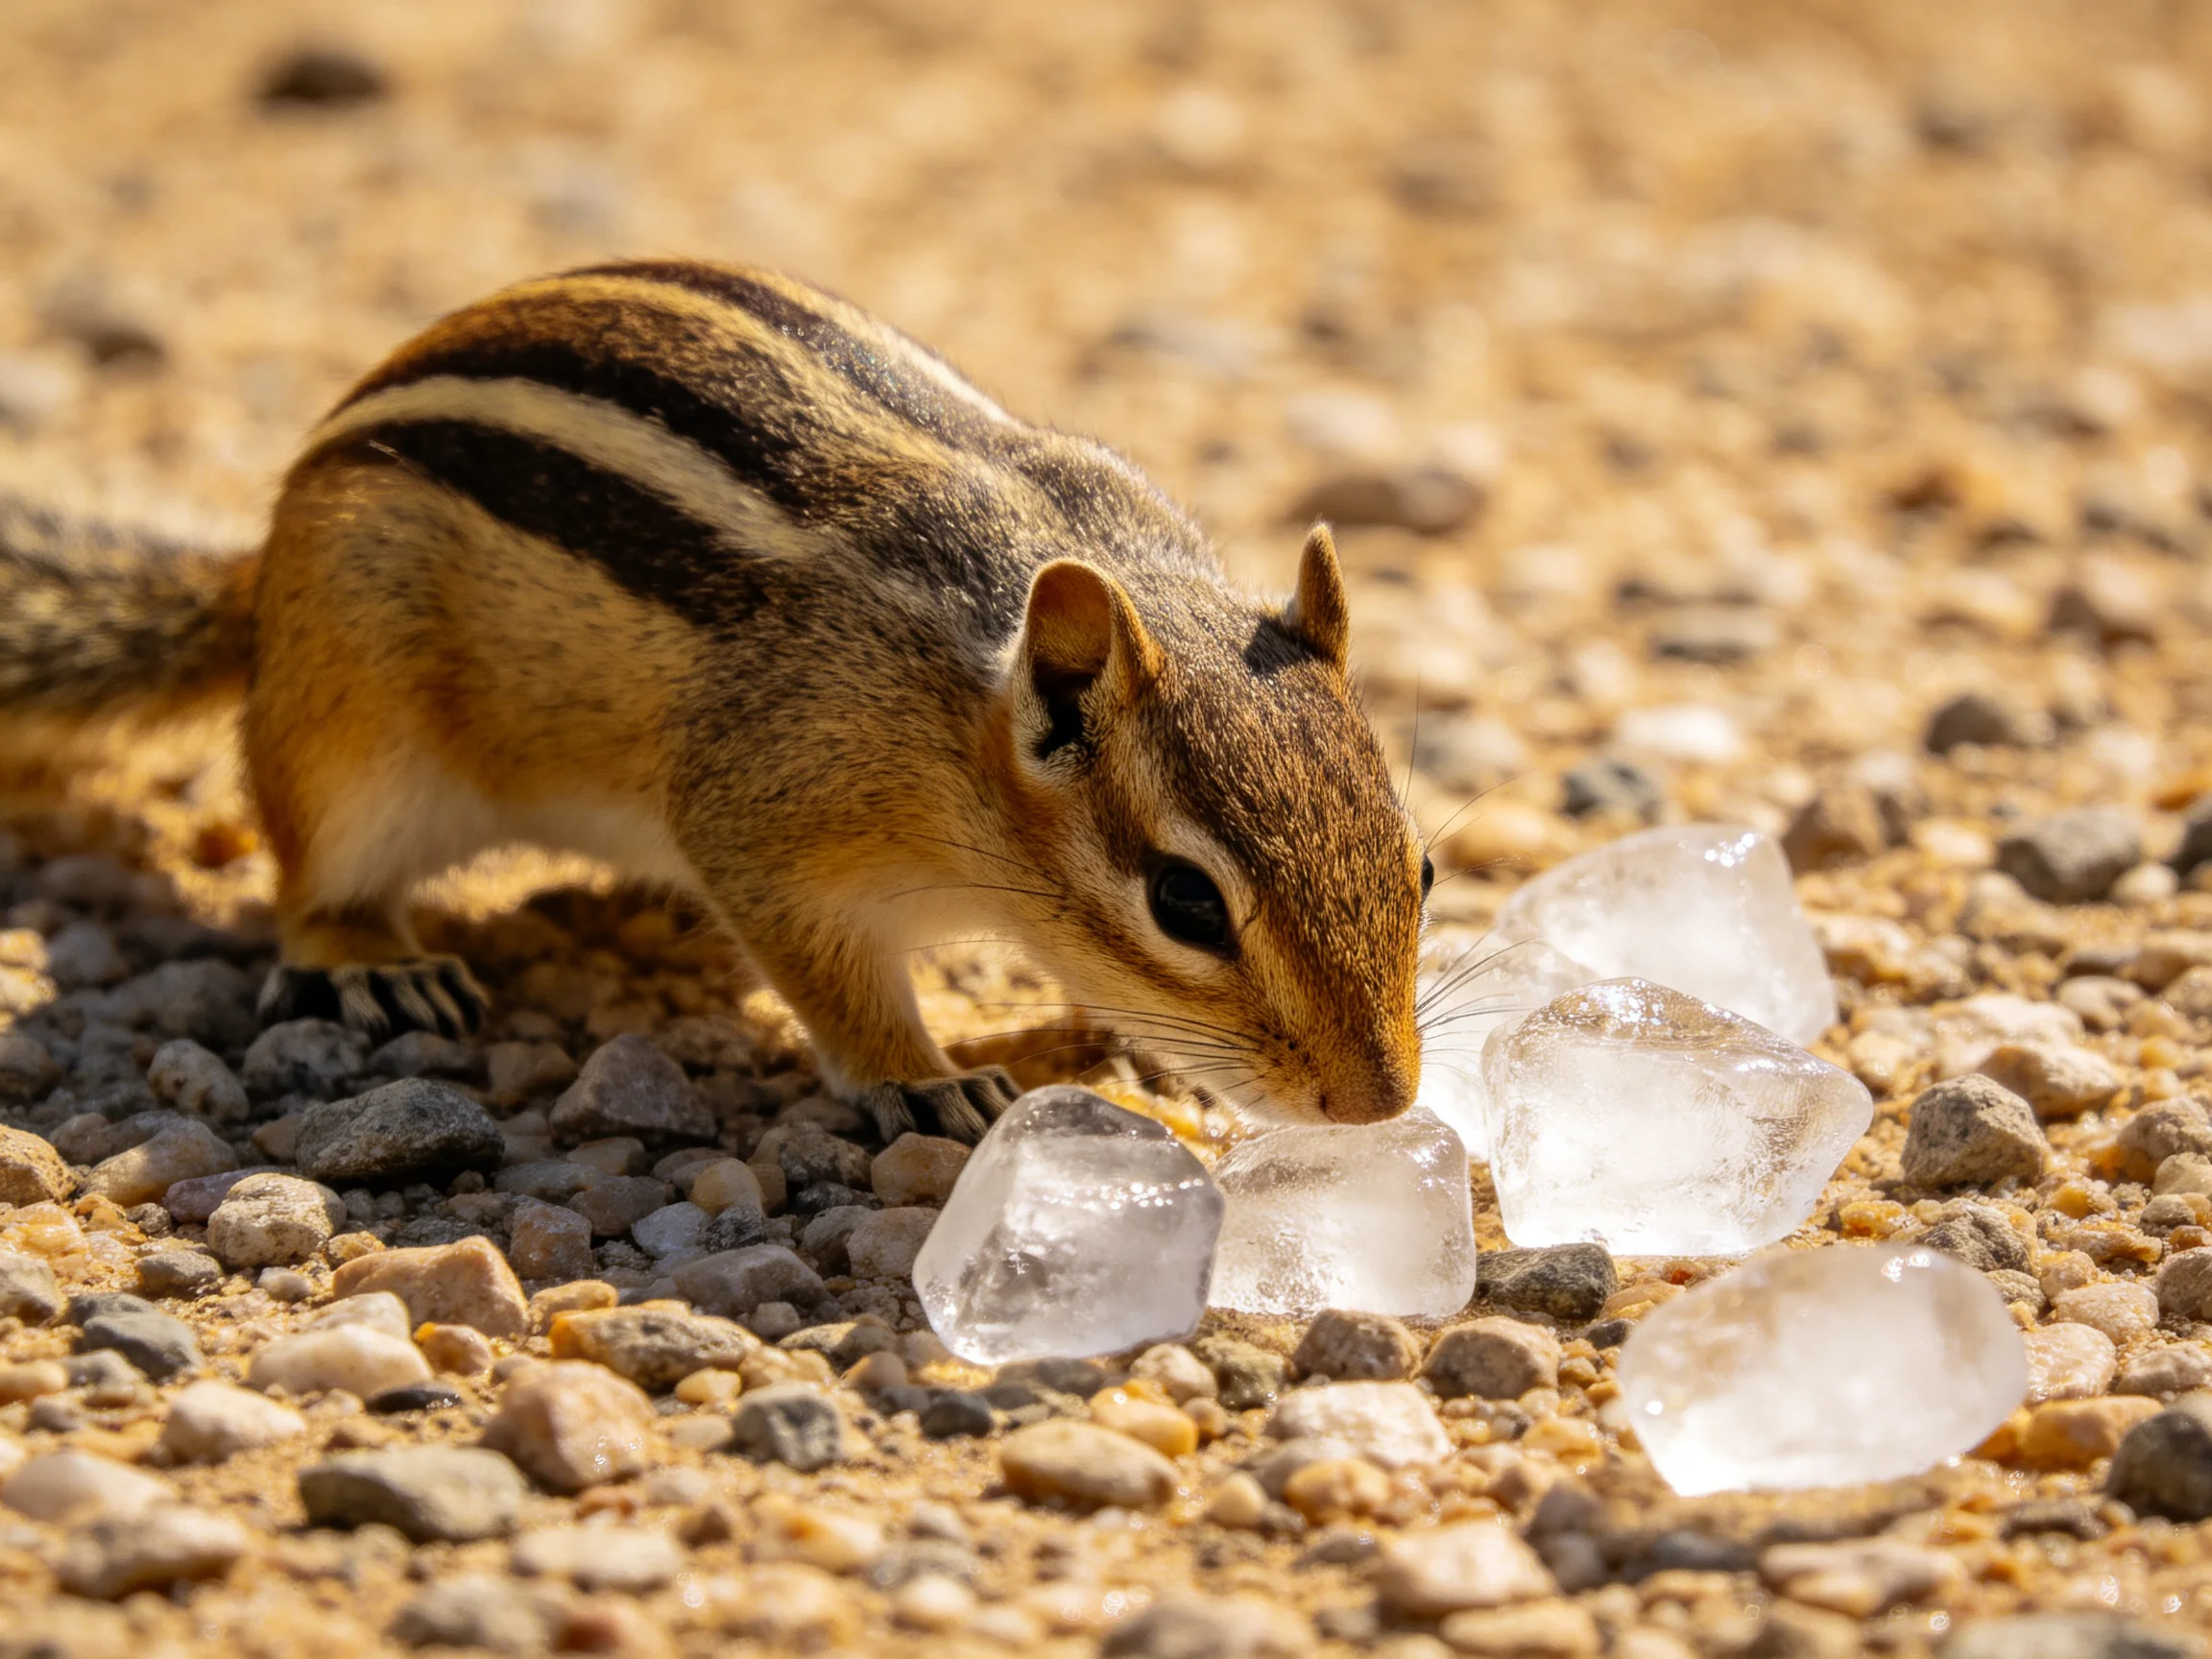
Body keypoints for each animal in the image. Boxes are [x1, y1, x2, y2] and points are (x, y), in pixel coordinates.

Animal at [0, 260, 1430, 1143]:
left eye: (1419, 869)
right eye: (1186, 903)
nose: (1382, 1105)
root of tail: (260, 574)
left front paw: (1112, 1045)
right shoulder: (769, 816)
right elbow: (832, 973)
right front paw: (921, 1083)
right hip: (351, 734)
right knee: (310, 878)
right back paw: (374, 962)